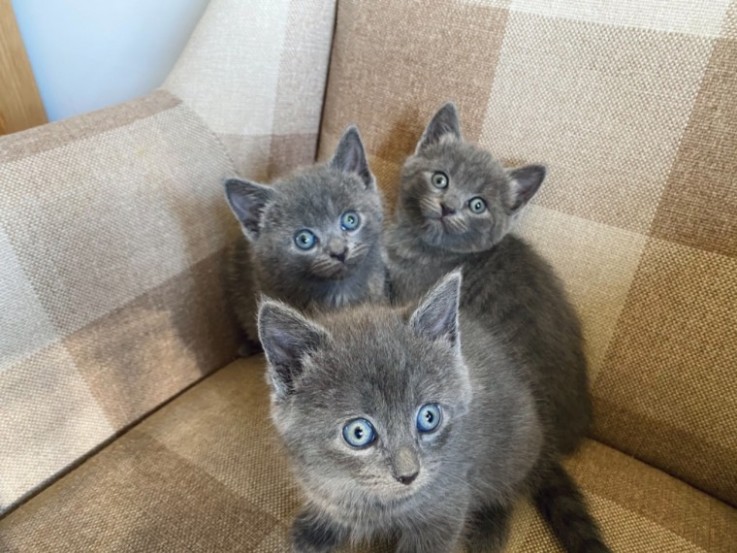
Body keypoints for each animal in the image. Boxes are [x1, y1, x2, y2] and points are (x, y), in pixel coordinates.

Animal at [258, 272, 608, 552]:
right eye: (358, 433)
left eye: (428, 417)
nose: (409, 475)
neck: (377, 502)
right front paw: (315, 529)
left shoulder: (447, 505)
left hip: (513, 453)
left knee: (507, 490)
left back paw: (489, 528)